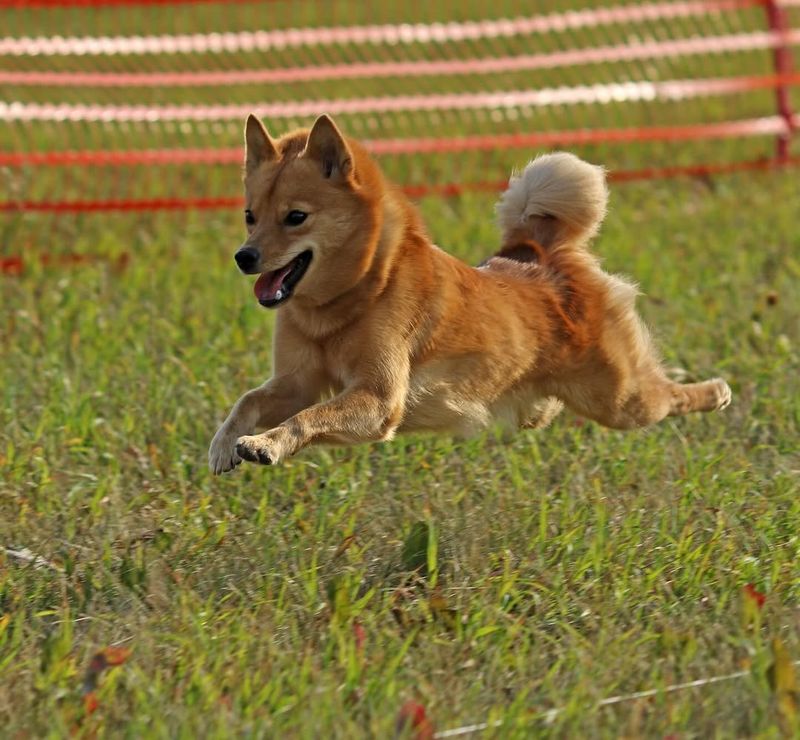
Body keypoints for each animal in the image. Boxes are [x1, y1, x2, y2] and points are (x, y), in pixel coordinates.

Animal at [208, 115, 732, 474]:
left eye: (296, 217)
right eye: (250, 215)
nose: (243, 257)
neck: (352, 298)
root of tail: (538, 255)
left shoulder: (378, 399)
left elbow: (308, 418)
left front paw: (265, 444)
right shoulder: (297, 382)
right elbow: (250, 401)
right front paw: (224, 444)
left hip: (621, 400)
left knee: (670, 396)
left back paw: (716, 392)